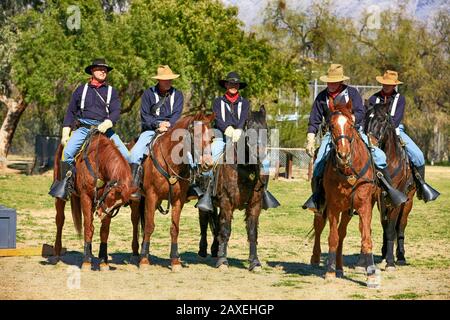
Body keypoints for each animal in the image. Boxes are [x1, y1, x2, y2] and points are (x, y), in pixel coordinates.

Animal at [52, 130, 135, 270]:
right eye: (111, 195)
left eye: (119, 205)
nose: (100, 214)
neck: (99, 161)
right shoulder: (86, 198)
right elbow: (87, 227)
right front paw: (86, 261)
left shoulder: (103, 205)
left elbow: (104, 231)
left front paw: (103, 261)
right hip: (61, 198)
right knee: (60, 220)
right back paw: (57, 253)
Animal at [130, 114, 214, 272]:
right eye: (196, 135)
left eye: (212, 137)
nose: (208, 164)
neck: (170, 161)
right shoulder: (151, 196)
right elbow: (149, 226)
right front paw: (144, 260)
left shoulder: (178, 200)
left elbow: (174, 228)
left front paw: (175, 260)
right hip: (137, 200)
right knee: (136, 221)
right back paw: (137, 253)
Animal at [312, 100, 382, 288]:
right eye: (331, 125)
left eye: (350, 125)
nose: (343, 154)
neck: (348, 172)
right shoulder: (333, 207)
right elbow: (332, 238)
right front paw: (329, 271)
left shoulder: (364, 207)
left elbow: (366, 238)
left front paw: (371, 275)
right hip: (323, 207)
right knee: (319, 227)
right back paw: (316, 258)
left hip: (348, 212)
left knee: (342, 233)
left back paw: (340, 267)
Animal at [364, 101, 416, 268]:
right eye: (366, 119)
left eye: (381, 120)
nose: (371, 145)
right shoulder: (379, 198)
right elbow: (382, 226)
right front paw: (383, 255)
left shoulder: (397, 199)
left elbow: (393, 228)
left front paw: (391, 262)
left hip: (408, 202)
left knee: (400, 226)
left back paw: (400, 256)